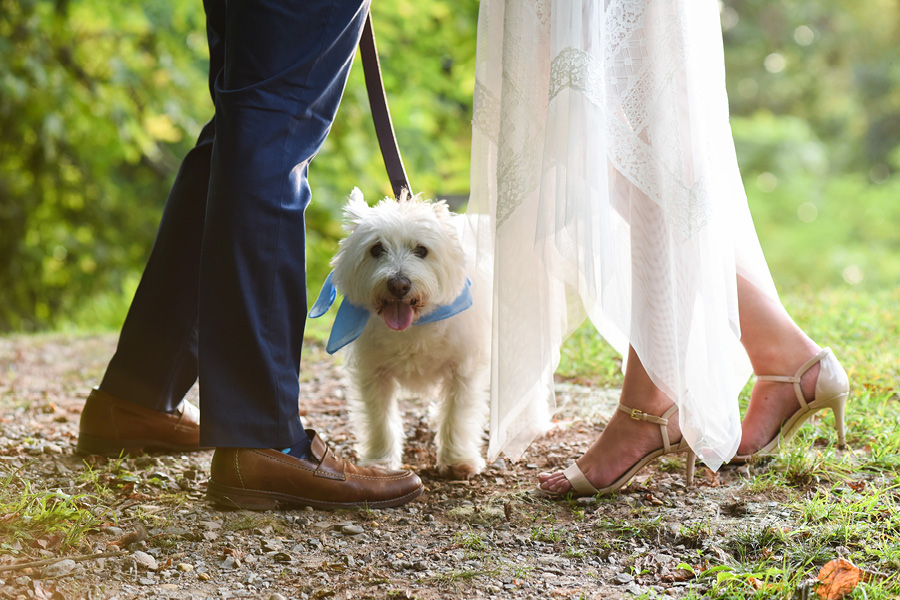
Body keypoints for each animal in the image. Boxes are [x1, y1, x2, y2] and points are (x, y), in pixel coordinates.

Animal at [310, 188, 492, 478]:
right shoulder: (373, 373)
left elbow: (458, 414)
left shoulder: (464, 370)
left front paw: (457, 460)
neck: (414, 326)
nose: (398, 285)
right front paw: (380, 462)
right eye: (376, 249)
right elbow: (379, 419)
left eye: (421, 250)